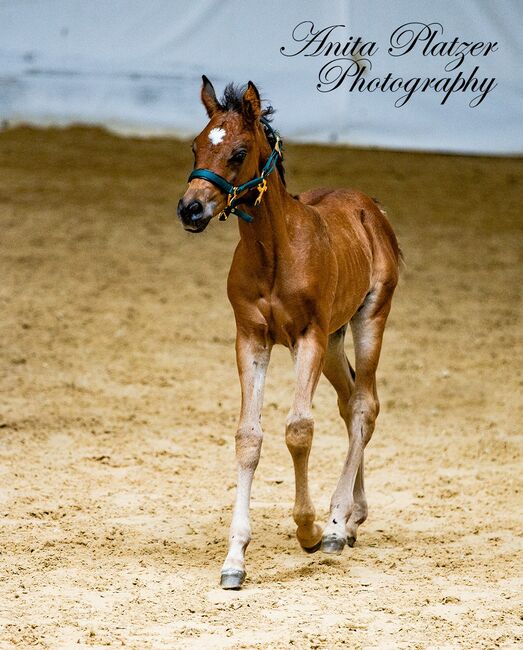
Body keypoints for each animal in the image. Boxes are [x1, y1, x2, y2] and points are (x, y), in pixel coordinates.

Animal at [178, 77, 404, 588]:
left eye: (239, 152)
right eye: (196, 146)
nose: (190, 208)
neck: (274, 253)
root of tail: (371, 207)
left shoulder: (308, 338)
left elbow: (299, 429)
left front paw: (310, 529)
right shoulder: (250, 338)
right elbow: (249, 437)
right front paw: (234, 559)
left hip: (367, 319)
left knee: (364, 405)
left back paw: (338, 524)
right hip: (336, 338)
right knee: (349, 403)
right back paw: (354, 517)